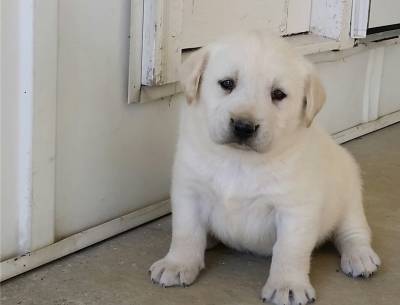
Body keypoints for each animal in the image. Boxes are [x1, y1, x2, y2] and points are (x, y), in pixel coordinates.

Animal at [148, 31, 380, 304]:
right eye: (227, 83)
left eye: (278, 94)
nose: (243, 126)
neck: (239, 160)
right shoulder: (189, 191)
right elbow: (186, 232)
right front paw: (177, 264)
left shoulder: (295, 210)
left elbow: (289, 249)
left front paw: (288, 285)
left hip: (349, 197)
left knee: (353, 232)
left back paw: (360, 257)